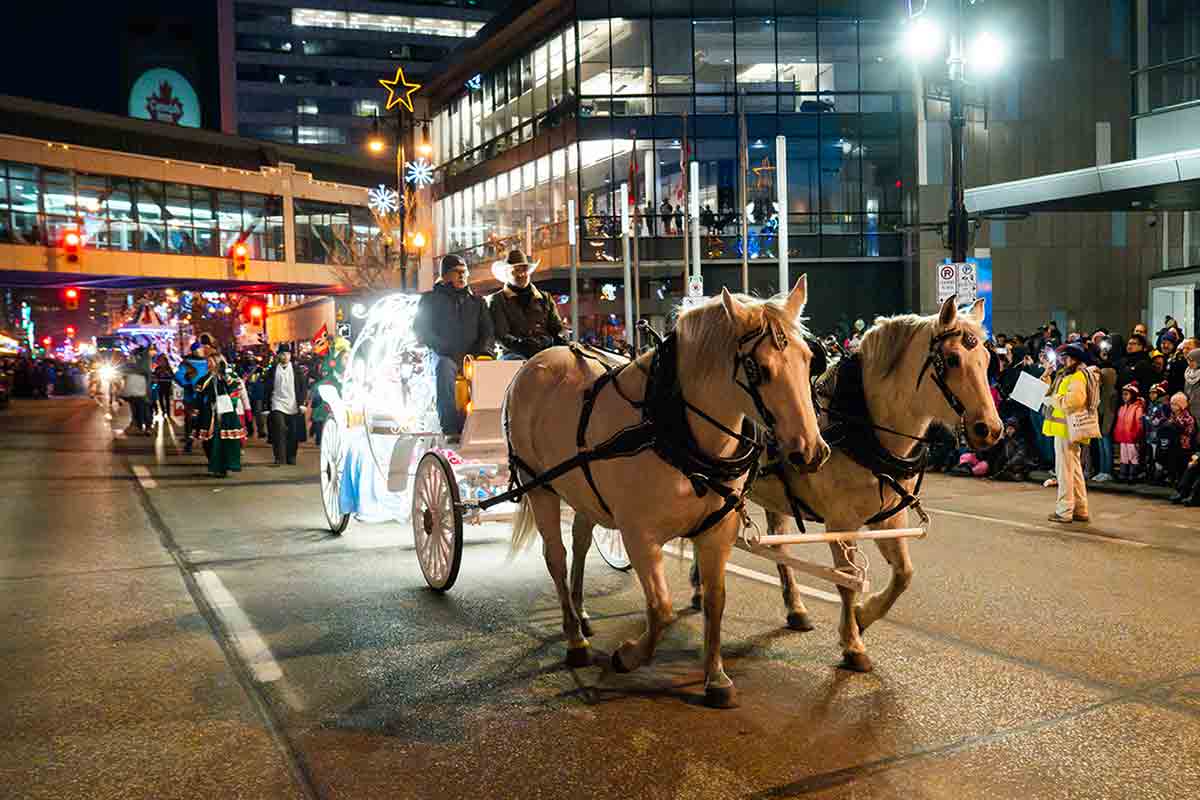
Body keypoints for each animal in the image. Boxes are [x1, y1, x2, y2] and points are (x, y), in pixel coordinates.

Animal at [504, 280, 825, 705]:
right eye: (758, 369)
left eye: (809, 360)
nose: (811, 451)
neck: (675, 429)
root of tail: (538, 359)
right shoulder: (639, 536)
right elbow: (662, 609)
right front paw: (628, 655)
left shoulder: (716, 531)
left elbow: (715, 600)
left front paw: (715, 676)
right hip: (539, 486)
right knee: (555, 557)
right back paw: (574, 638)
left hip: (583, 490)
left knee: (581, 543)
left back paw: (581, 612)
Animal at [720, 297, 1003, 671]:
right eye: (953, 359)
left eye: (986, 359)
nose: (991, 429)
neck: (861, 423)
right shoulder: (840, 522)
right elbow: (847, 581)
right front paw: (853, 643)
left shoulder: (890, 518)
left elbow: (903, 574)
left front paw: (863, 616)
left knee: (778, 546)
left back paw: (795, 609)